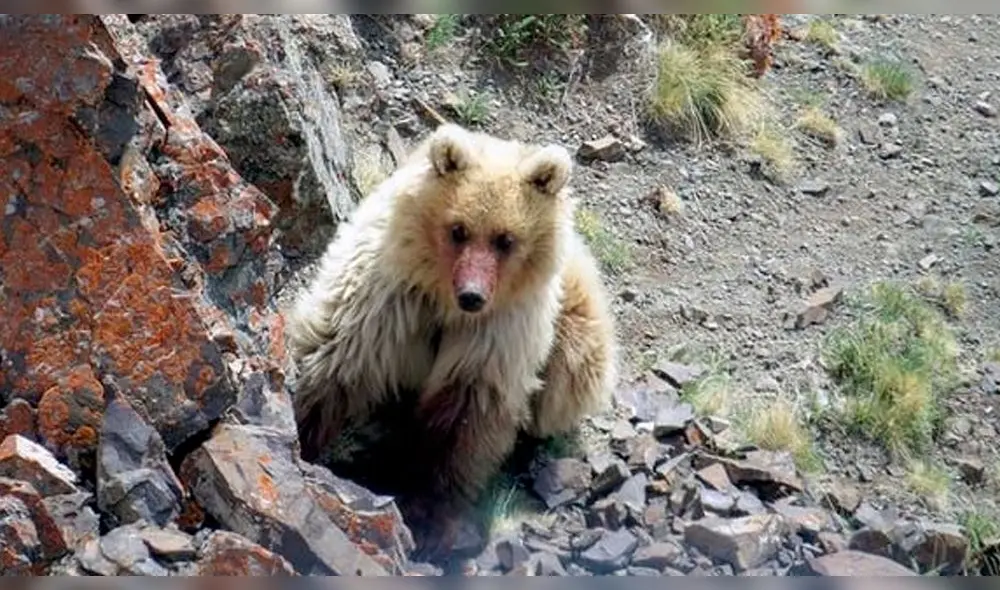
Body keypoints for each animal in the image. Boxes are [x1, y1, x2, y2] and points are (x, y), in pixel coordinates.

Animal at [283, 122, 618, 555]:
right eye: (458, 230)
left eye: (505, 239)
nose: (472, 295)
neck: (443, 302)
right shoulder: (389, 298)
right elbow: (339, 357)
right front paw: (302, 436)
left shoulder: (495, 334)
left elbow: (464, 413)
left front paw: (430, 514)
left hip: (579, 325)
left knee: (570, 378)